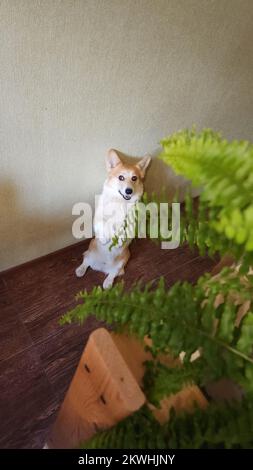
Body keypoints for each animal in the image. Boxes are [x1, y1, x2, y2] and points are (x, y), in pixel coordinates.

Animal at [75, 151, 150, 288]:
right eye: (121, 177)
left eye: (134, 178)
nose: (129, 191)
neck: (120, 202)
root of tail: (101, 267)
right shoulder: (99, 217)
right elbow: (105, 222)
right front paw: (105, 237)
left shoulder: (131, 222)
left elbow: (123, 227)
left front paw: (119, 238)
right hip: (91, 248)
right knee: (86, 262)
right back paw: (80, 270)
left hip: (123, 261)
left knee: (113, 273)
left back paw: (107, 283)